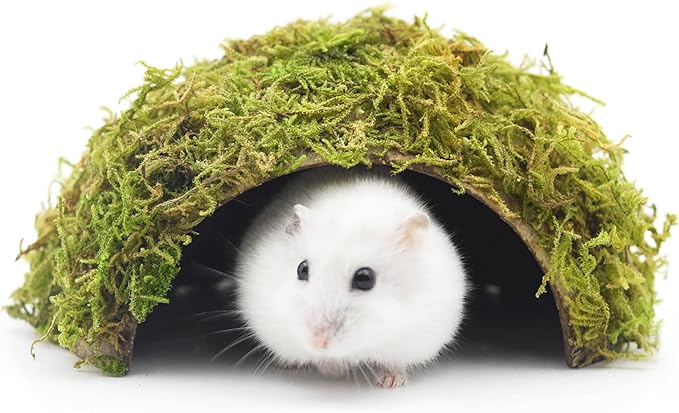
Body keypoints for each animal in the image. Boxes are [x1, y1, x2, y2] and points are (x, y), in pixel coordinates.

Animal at [234, 168, 468, 388]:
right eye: (302, 269)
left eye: (365, 279)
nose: (317, 341)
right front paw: (335, 371)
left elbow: (395, 362)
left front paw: (389, 382)